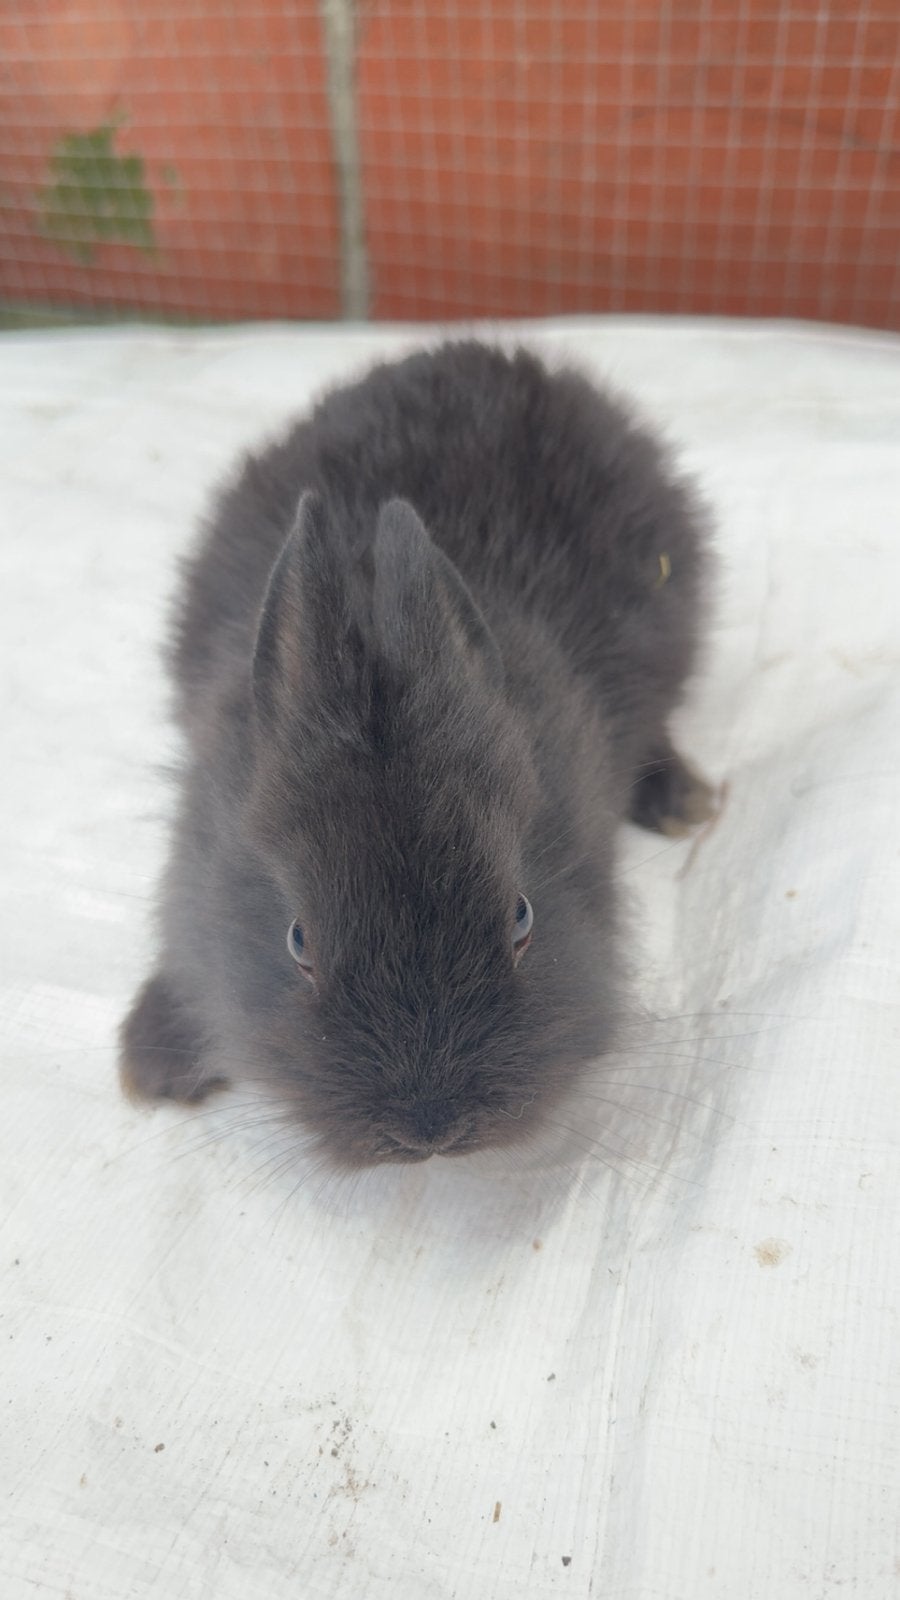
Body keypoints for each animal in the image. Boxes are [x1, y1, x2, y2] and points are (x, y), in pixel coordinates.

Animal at [120, 339, 714, 1169]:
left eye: (522, 917)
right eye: (298, 940)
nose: (429, 1132)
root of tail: (485, 352)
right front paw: (157, 1063)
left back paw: (683, 801)